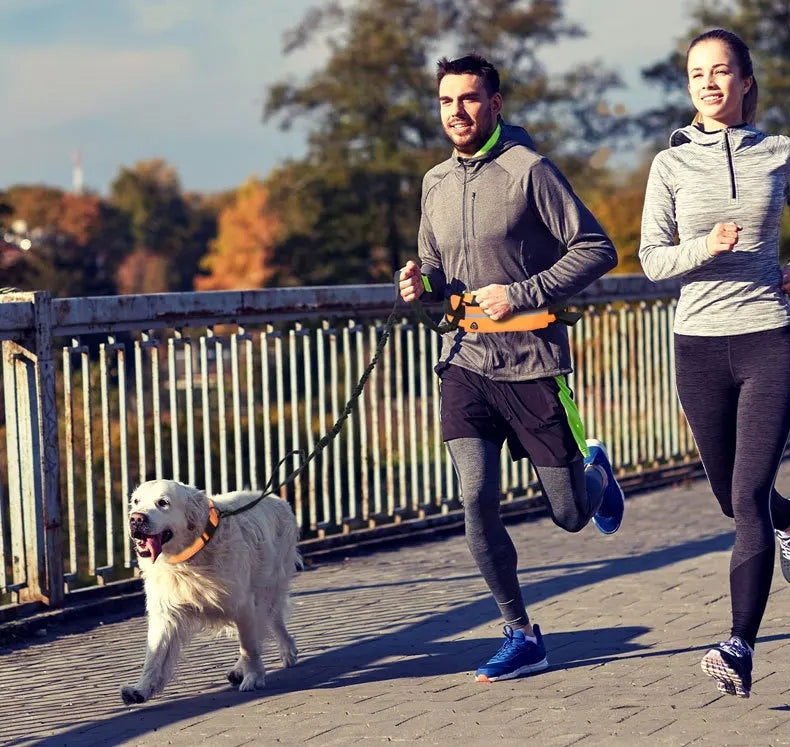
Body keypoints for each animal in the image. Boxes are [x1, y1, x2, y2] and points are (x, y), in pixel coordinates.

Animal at [120, 482, 300, 704]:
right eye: (136, 501)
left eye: (163, 502)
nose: (135, 518)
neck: (188, 559)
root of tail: (278, 499)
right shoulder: (166, 612)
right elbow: (155, 655)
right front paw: (140, 690)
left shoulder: (243, 605)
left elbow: (249, 645)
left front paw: (253, 677)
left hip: (268, 587)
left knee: (272, 622)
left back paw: (285, 652)